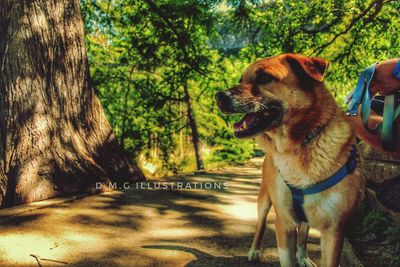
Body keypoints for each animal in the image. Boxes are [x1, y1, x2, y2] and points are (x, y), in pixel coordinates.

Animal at [216, 54, 366, 267]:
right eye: (241, 79)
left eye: (265, 78)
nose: (218, 96)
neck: (298, 146)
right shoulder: (284, 223)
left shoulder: (335, 231)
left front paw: (302, 256)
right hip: (264, 201)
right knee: (260, 224)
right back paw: (255, 250)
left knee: (303, 234)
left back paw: (303, 257)